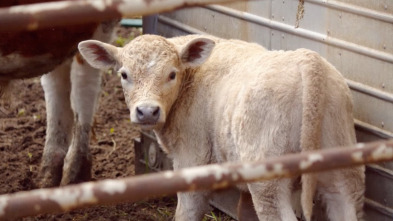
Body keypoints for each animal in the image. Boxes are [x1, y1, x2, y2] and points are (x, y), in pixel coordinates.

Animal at [79, 35, 364, 221]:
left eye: (172, 74)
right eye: (124, 74)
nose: (147, 111)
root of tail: (308, 62)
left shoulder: (192, 158)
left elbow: (188, 211)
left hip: (269, 179)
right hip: (343, 166)